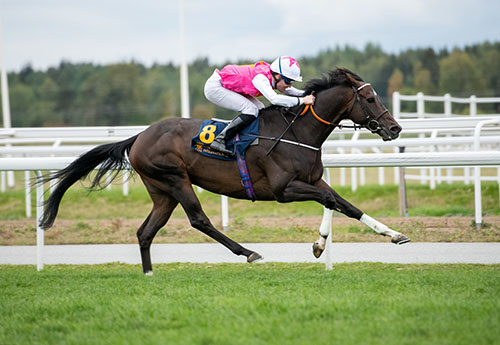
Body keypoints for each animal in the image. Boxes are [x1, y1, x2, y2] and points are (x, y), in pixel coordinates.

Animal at [41, 68, 410, 274]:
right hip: (176, 179)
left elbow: (344, 204)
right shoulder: (283, 190)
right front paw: (319, 244)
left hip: (162, 191)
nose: (395, 128)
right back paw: (249, 253)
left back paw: (149, 275)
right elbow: (330, 201)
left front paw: (393, 235)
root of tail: (139, 136)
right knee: (199, 220)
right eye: (371, 99)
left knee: (145, 232)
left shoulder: (312, 179)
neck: (298, 131)